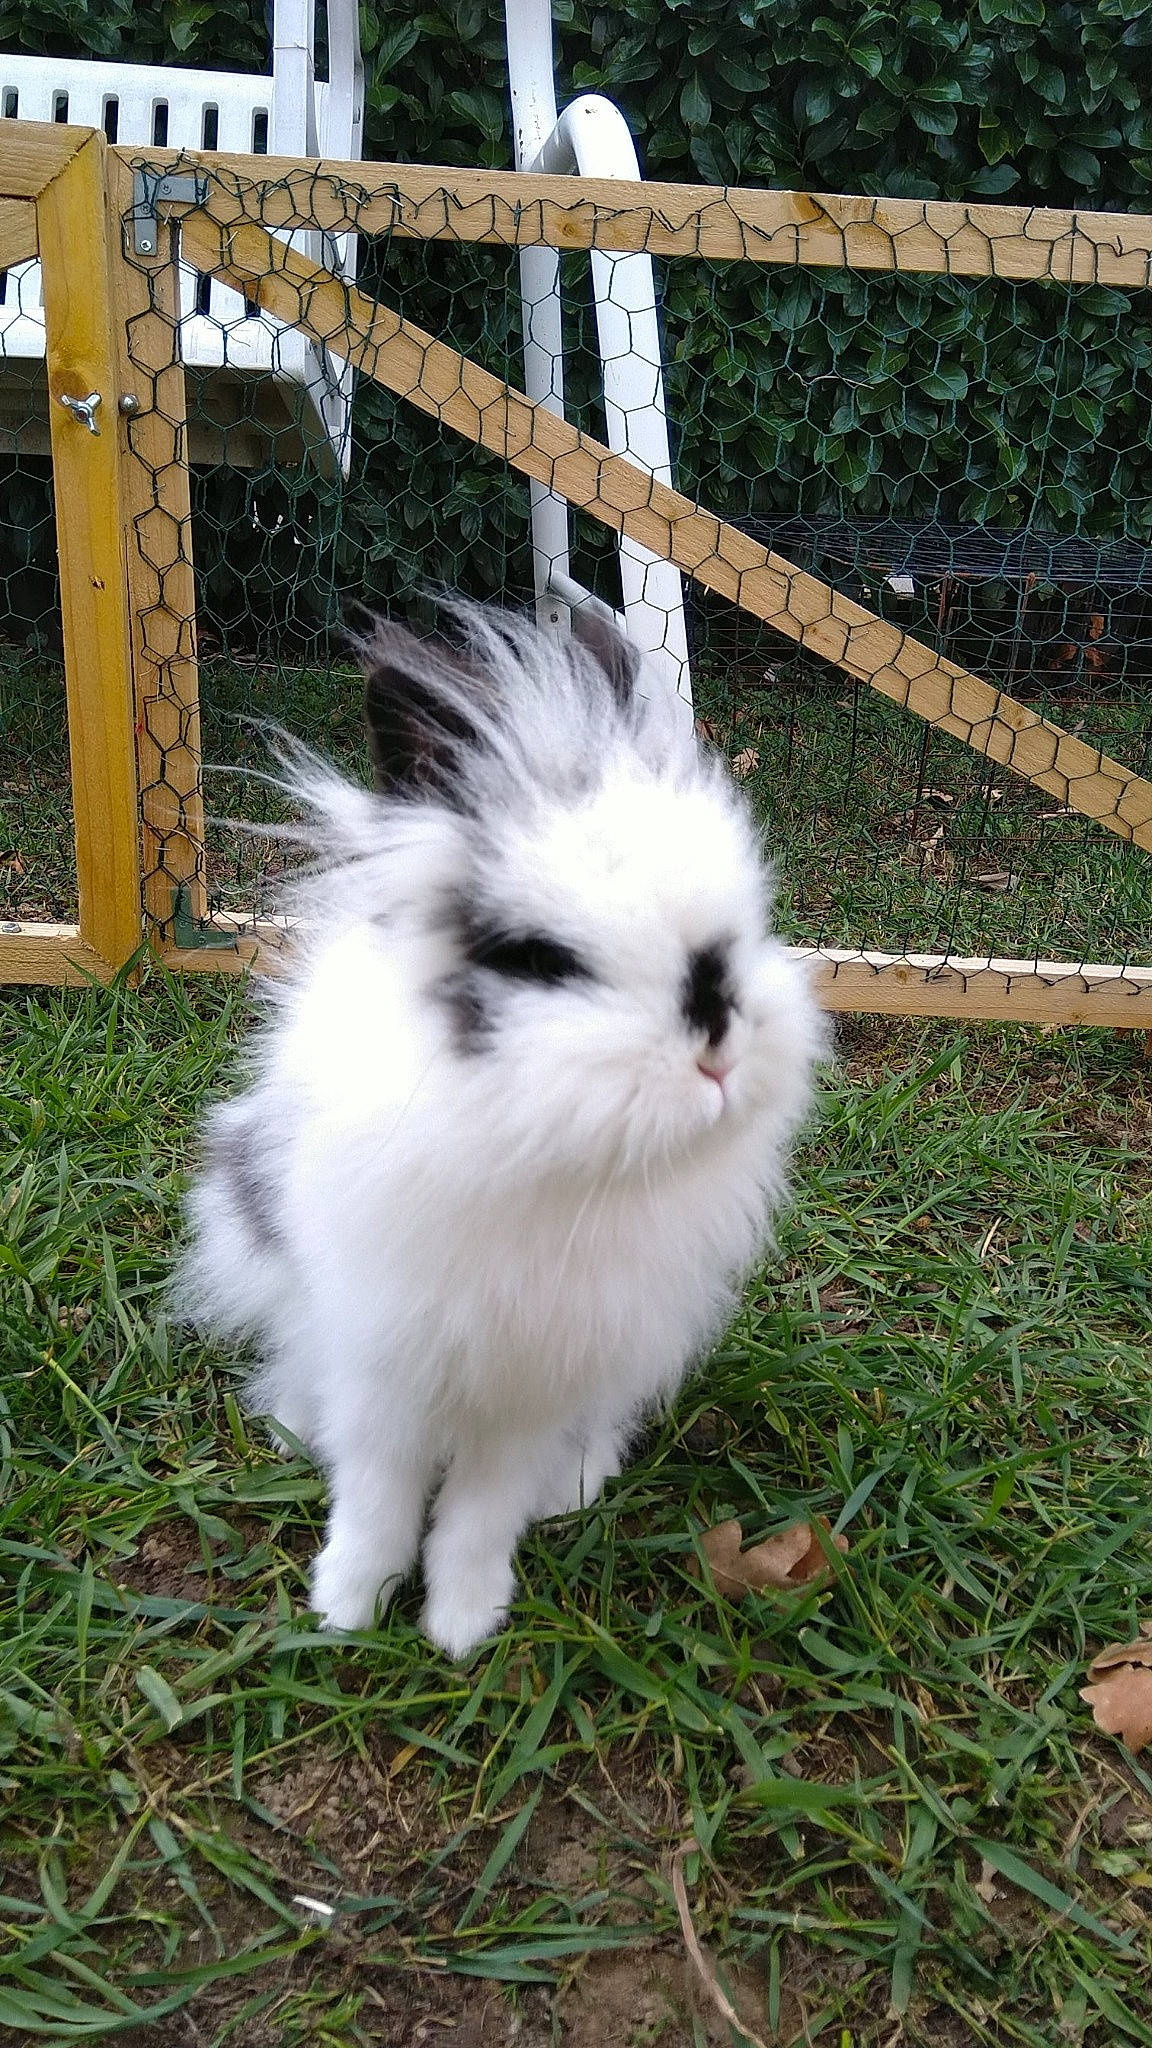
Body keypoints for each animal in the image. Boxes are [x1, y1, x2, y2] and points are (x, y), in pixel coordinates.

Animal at [175, 600, 826, 1660]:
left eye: (741, 929)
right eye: (538, 960)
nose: (720, 1052)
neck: (541, 1165)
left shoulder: (537, 1385)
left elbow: (479, 1512)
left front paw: (462, 1624)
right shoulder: (383, 1357)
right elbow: (376, 1495)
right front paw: (347, 1608)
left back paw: (573, 1488)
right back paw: (294, 1427)